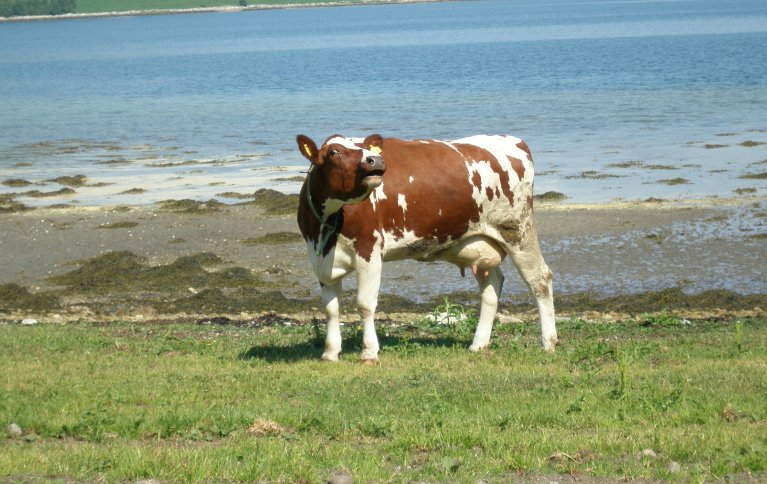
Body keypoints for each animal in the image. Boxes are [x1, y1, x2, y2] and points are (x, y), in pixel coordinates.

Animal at [296, 133, 560, 364]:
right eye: (334, 152)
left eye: (365, 148)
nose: (375, 160)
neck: (328, 224)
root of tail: (512, 140)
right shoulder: (318, 259)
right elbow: (331, 308)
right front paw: (330, 353)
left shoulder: (368, 251)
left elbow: (365, 305)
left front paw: (369, 353)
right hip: (480, 243)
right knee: (492, 284)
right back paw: (478, 343)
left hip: (517, 230)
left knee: (539, 279)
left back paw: (548, 342)